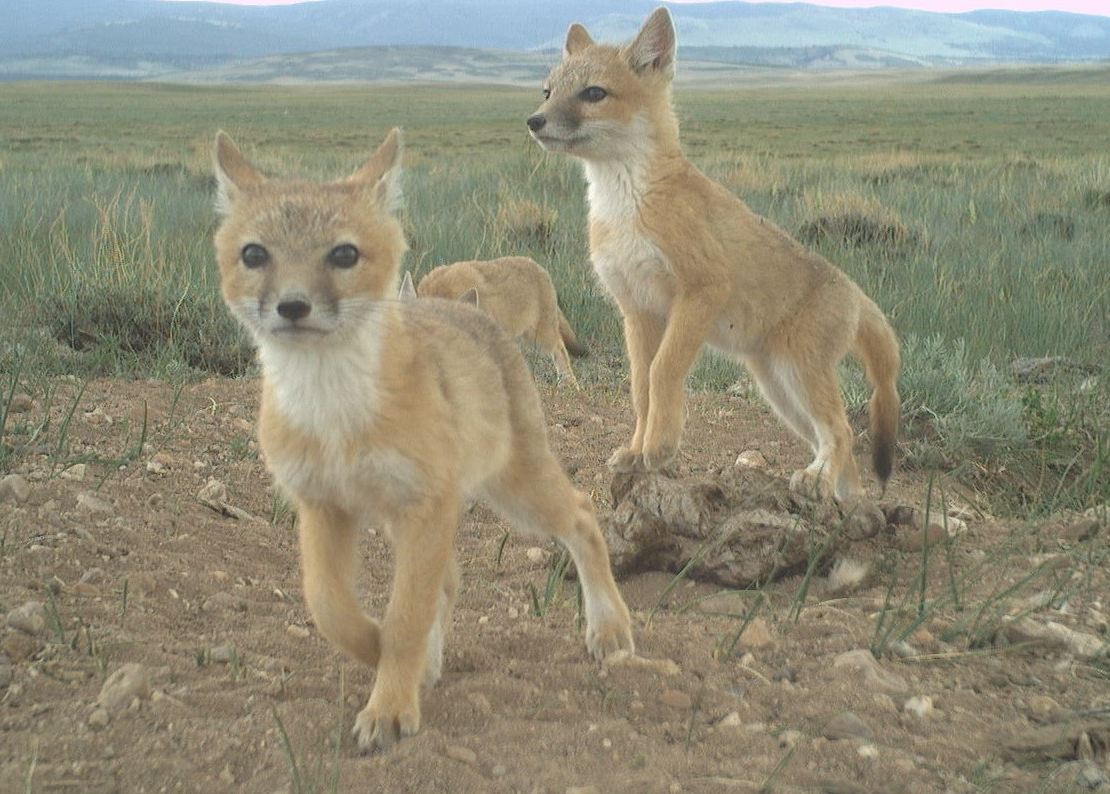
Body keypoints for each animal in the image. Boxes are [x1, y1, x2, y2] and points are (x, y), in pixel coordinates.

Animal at [528, 6, 901, 499]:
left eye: (593, 93)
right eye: (548, 91)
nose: (533, 120)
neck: (627, 203)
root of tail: (855, 292)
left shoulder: (699, 293)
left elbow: (662, 373)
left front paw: (660, 447)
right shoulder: (638, 310)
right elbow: (639, 387)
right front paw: (636, 451)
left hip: (798, 376)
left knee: (844, 431)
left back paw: (817, 479)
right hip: (780, 390)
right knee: (842, 450)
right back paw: (837, 491)